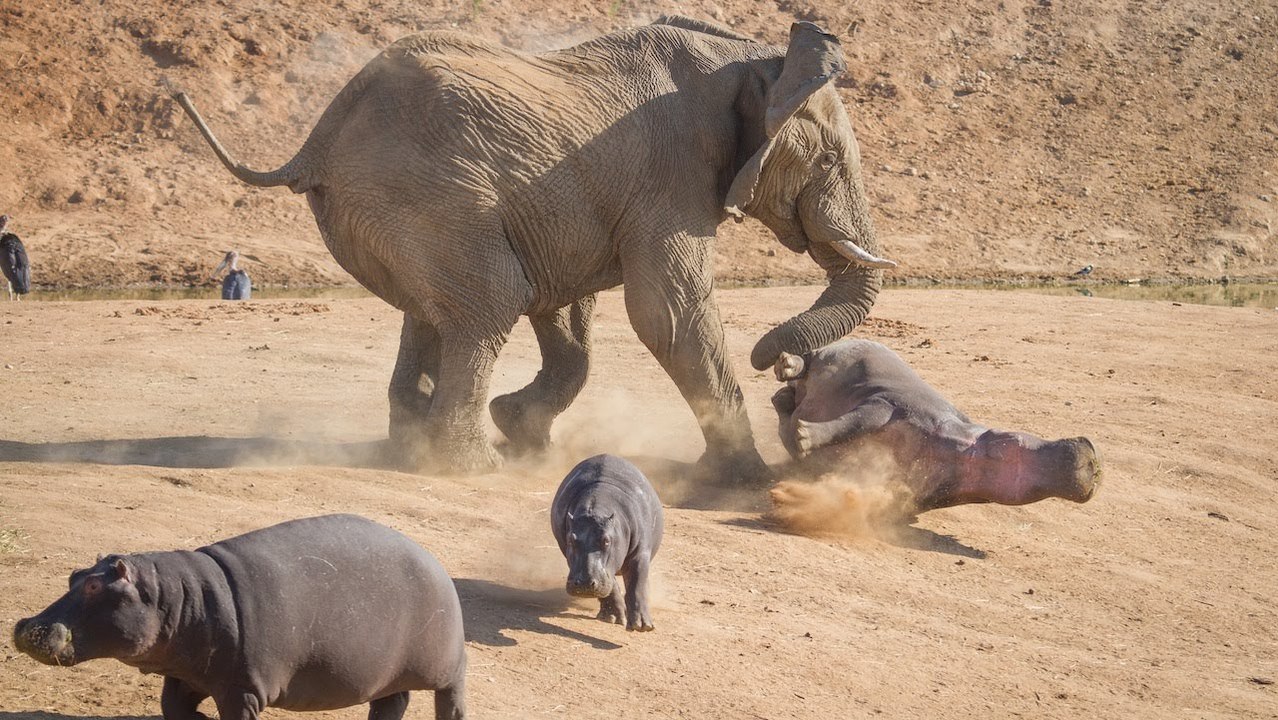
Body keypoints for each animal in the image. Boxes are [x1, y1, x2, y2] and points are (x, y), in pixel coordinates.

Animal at [13, 514, 466, 720]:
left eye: (94, 587)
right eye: (74, 574)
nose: (26, 625)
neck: (176, 596)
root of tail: (434, 559)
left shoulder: (243, 689)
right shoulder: (184, 675)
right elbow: (173, 708)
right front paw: (198, 717)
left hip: (446, 664)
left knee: (451, 694)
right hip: (387, 673)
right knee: (392, 701)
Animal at [171, 16, 895, 483]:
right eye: (828, 161)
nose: (780, 364)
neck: (754, 62)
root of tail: (317, 139)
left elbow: (569, 311)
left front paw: (524, 432)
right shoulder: (673, 177)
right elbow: (666, 314)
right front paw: (745, 480)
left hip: (396, 209)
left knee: (433, 314)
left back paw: (415, 451)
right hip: (429, 194)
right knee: (489, 304)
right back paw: (469, 469)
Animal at [551, 454, 664, 631]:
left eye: (606, 541)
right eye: (571, 540)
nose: (584, 583)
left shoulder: (640, 553)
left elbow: (637, 584)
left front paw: (642, 626)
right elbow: (612, 588)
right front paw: (612, 618)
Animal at [771, 339, 1100, 512]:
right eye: (1011, 441)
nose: (1091, 455)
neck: (961, 451)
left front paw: (800, 439)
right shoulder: (889, 404)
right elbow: (853, 422)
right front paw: (804, 437)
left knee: (785, 399)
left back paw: (784, 396)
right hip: (836, 355)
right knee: (807, 360)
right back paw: (785, 363)